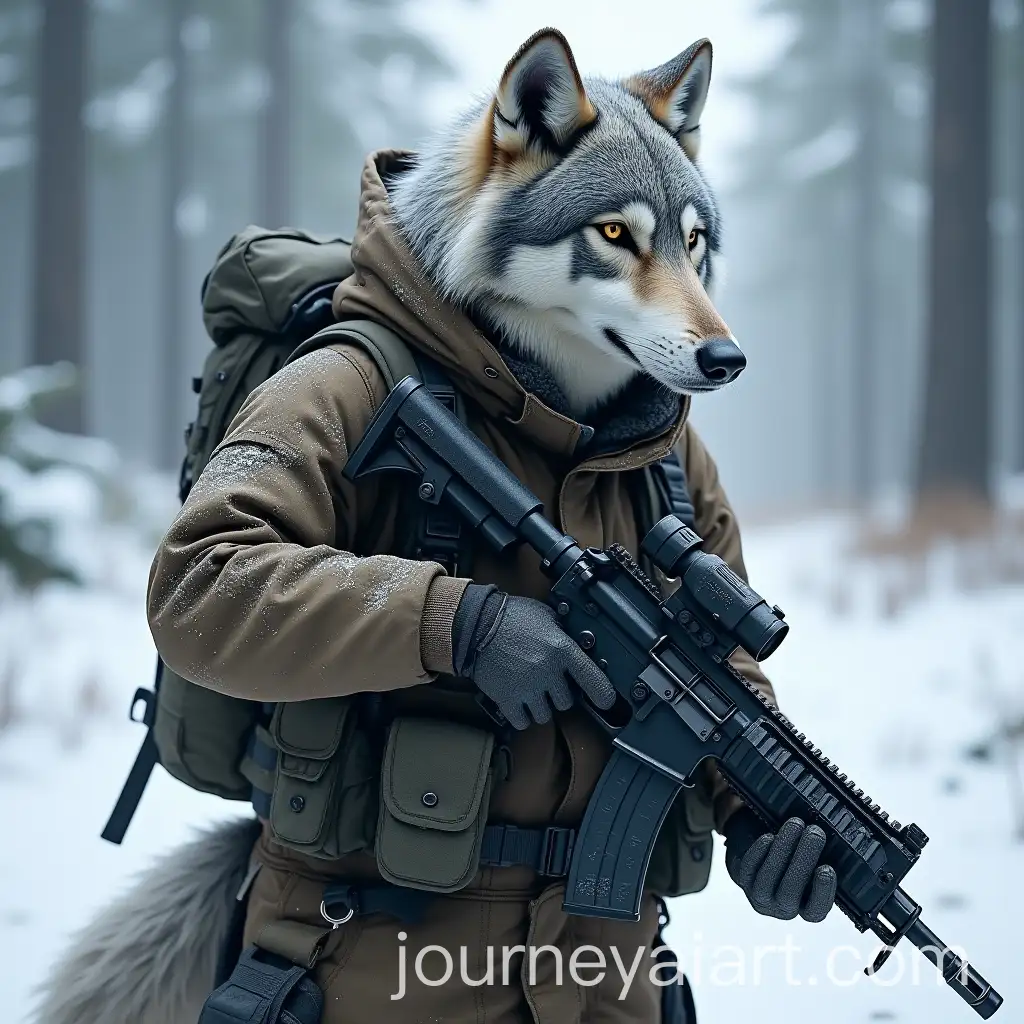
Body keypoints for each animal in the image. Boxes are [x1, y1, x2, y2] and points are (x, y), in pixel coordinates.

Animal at [32, 28, 743, 1024]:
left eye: (694, 241)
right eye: (613, 235)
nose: (728, 359)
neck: (557, 427)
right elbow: (201, 571)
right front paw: (510, 639)